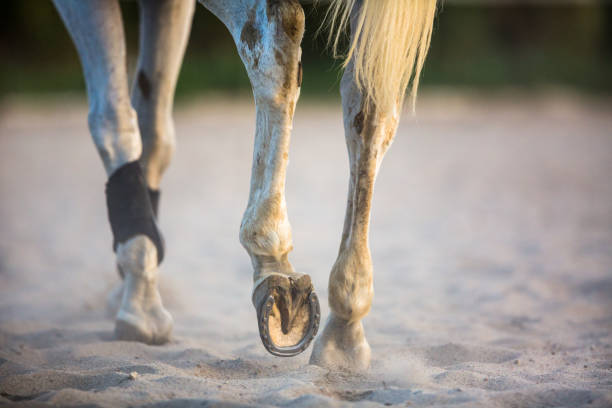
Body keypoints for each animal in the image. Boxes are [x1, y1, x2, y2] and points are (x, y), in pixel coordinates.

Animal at [51, 0, 436, 370]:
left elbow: (113, 119)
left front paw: (139, 298)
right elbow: (152, 130)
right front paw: (136, 278)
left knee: (276, 39)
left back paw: (272, 259)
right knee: (369, 100)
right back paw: (345, 328)